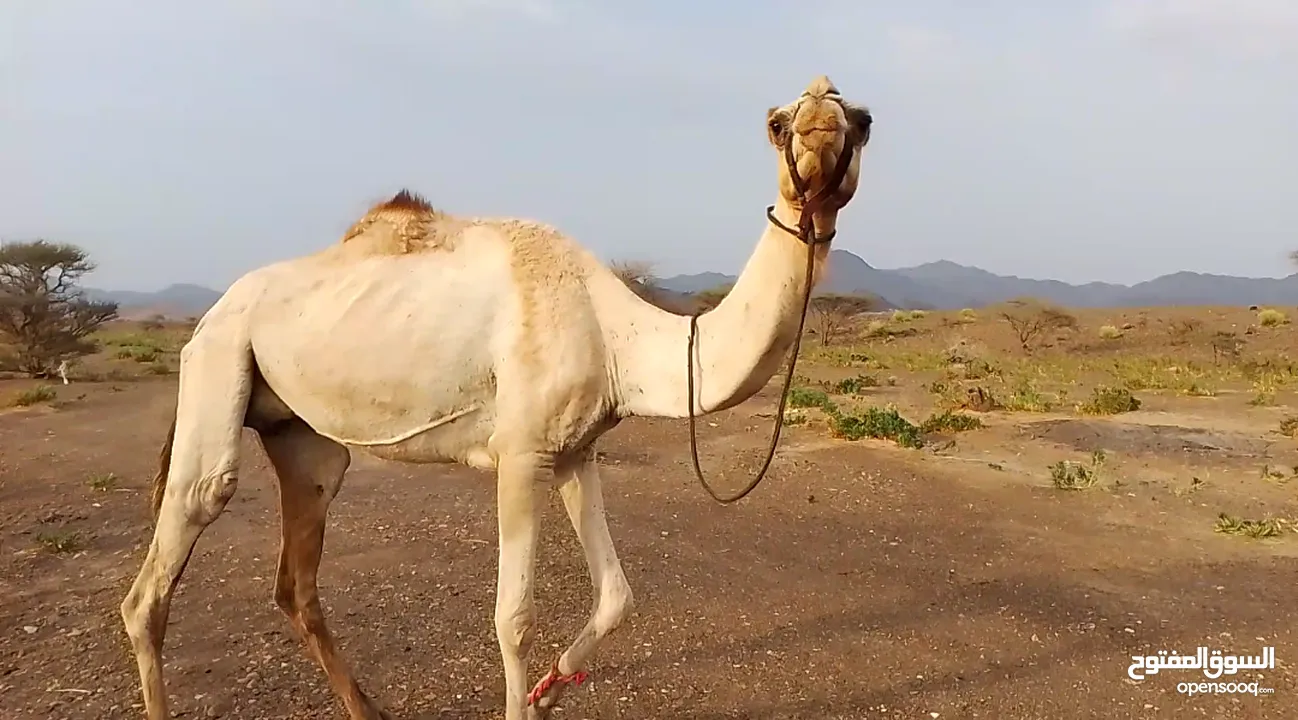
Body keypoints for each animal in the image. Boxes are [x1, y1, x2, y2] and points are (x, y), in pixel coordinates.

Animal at [119, 76, 872, 716]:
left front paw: (546, 692)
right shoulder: (519, 452)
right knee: (165, 562)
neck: (615, 333)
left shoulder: (574, 451)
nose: (819, 121)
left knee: (299, 574)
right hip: (219, 359)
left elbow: (617, 597)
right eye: (776, 124)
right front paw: (528, 694)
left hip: (302, 435)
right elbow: (513, 618)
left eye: (863, 122)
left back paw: (367, 707)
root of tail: (215, 309)